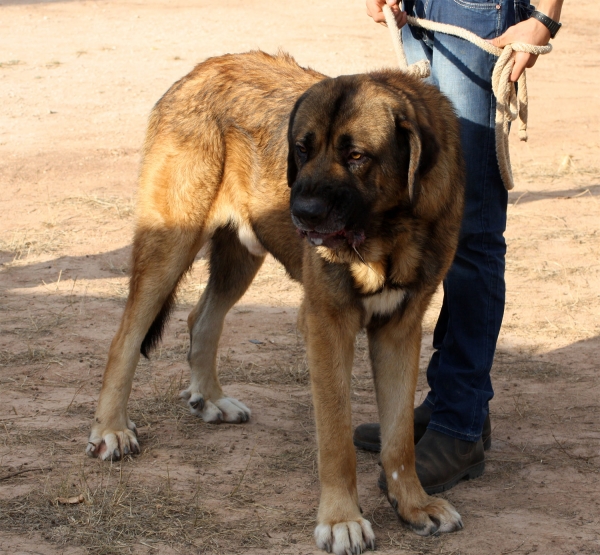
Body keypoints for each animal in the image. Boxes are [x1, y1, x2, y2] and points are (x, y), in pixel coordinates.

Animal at [86, 51, 466, 552]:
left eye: (357, 157)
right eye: (302, 149)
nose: (300, 212)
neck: (391, 231)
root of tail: (198, 71)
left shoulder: (400, 331)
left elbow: (400, 437)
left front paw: (413, 505)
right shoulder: (326, 325)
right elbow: (336, 441)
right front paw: (341, 519)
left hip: (240, 255)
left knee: (200, 318)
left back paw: (210, 398)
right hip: (171, 244)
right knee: (125, 337)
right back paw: (111, 428)